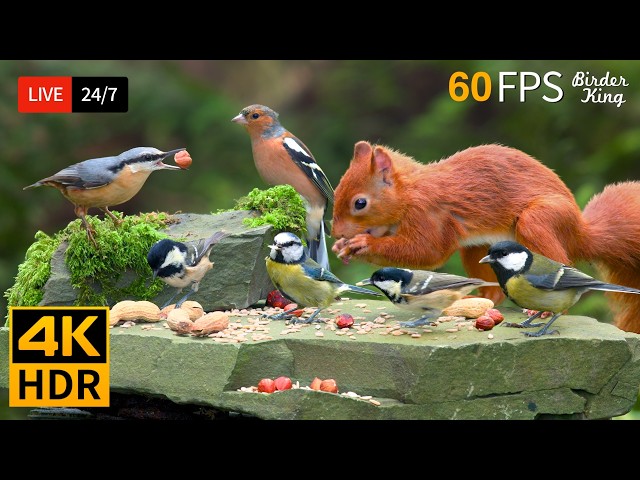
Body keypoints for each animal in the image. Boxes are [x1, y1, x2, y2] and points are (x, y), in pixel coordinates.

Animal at [331, 140, 640, 334]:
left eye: (360, 203)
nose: (335, 232)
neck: (410, 191)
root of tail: (578, 230)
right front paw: (342, 247)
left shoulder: (429, 214)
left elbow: (426, 251)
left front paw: (362, 244)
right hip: (478, 248)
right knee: (493, 288)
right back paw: (480, 301)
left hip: (540, 221)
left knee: (559, 266)